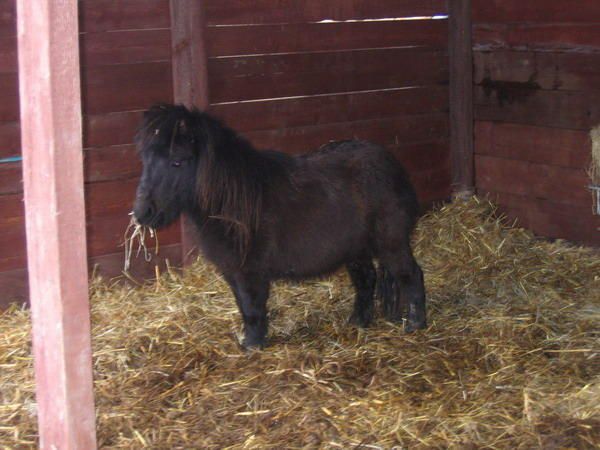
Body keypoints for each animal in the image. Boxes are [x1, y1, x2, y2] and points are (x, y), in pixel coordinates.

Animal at [134, 104, 426, 348]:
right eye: (146, 160)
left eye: (177, 161)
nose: (142, 214)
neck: (237, 203)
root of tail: (391, 164)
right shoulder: (232, 272)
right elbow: (244, 308)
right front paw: (249, 341)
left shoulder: (250, 272)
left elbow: (253, 309)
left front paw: (253, 347)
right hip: (357, 249)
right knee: (366, 280)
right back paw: (358, 323)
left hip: (392, 243)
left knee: (411, 275)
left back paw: (416, 325)